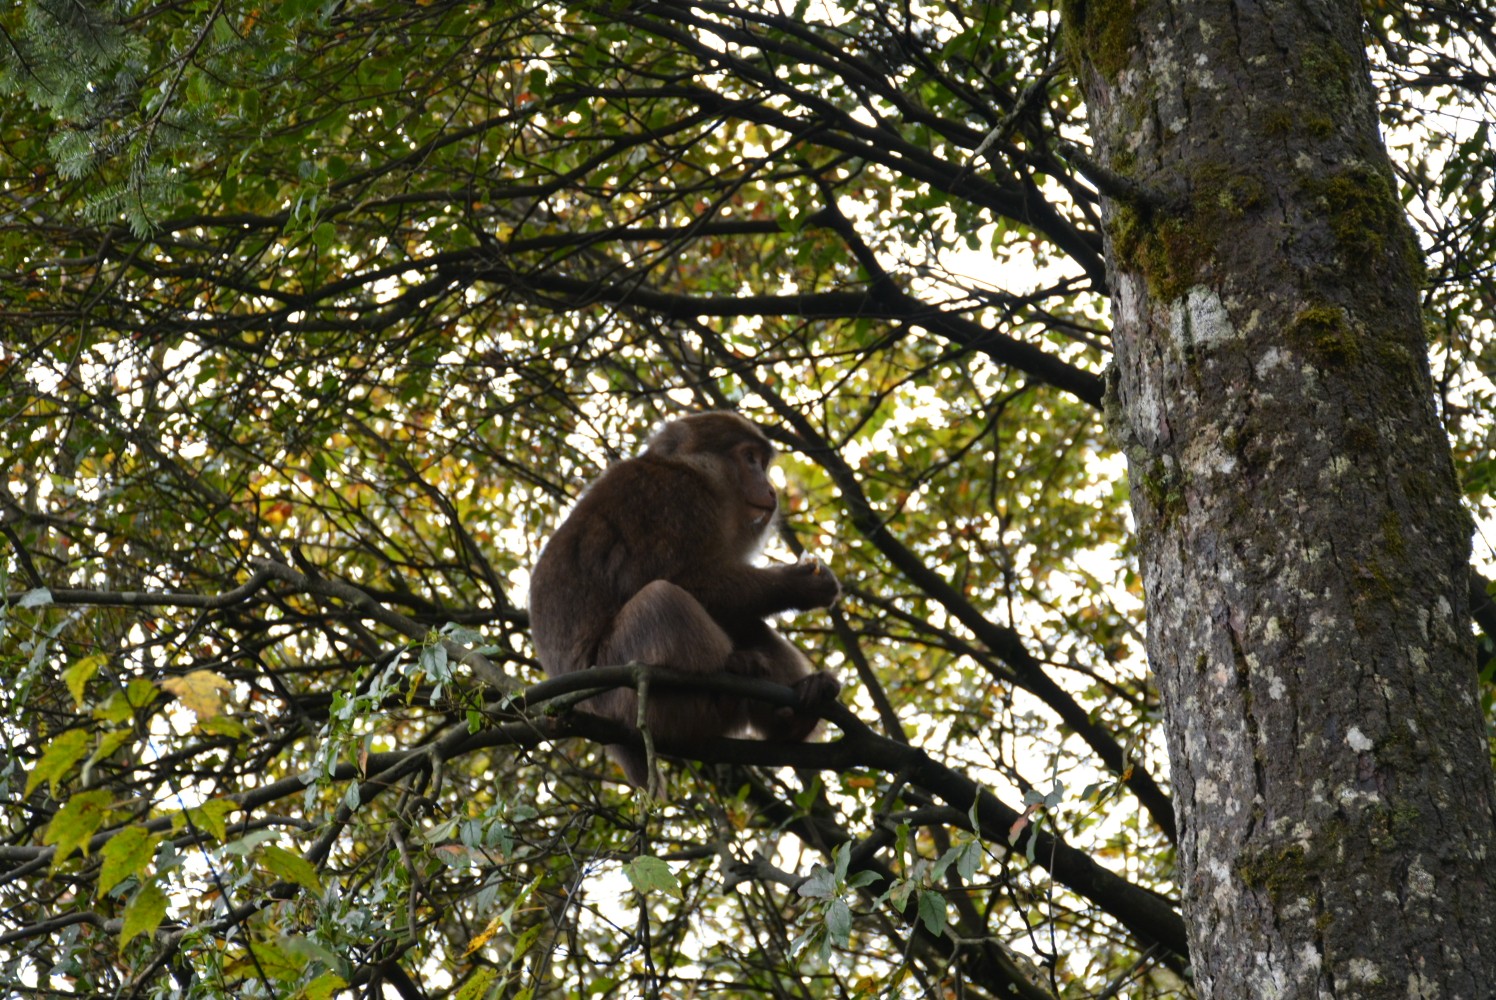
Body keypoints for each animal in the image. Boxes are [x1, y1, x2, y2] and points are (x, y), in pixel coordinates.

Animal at [529, 410, 843, 784]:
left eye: (762, 463)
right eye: (749, 458)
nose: (770, 490)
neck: (697, 472)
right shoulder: (675, 498)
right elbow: (669, 579)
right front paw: (797, 584)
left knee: (743, 623)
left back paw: (795, 716)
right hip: (617, 693)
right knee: (660, 600)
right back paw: (727, 680)